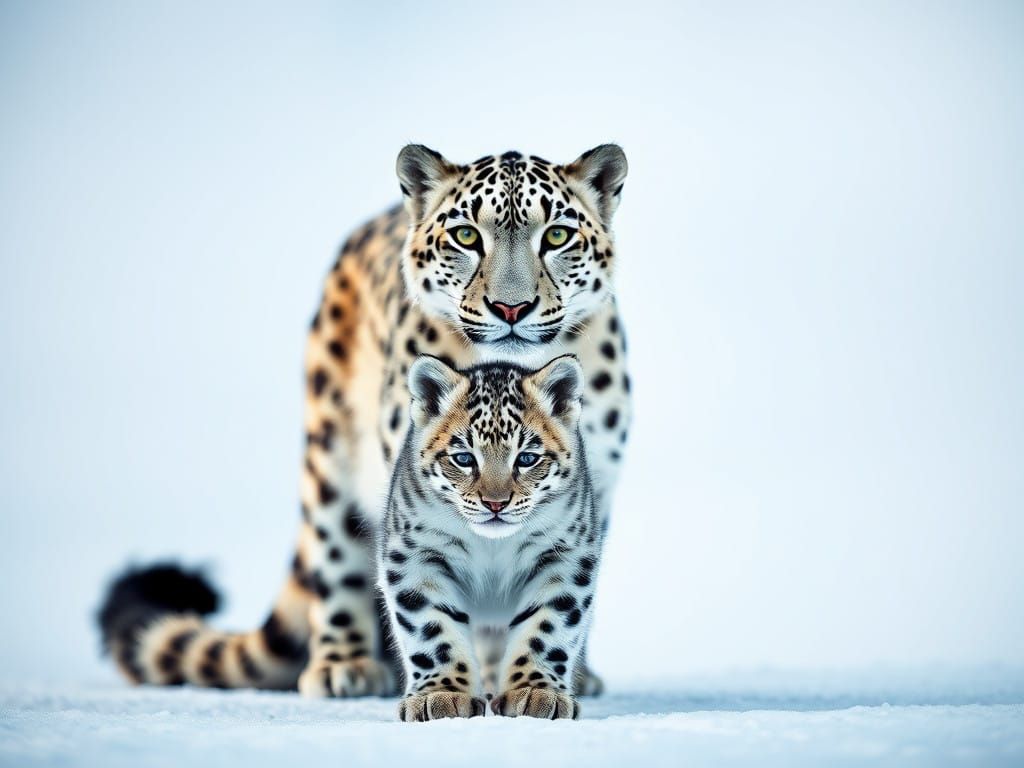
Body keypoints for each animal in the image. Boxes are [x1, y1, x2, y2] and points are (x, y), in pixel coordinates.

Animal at [383, 354, 599, 721]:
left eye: (526, 457)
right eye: (463, 457)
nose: (495, 503)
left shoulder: (564, 555)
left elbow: (547, 626)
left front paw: (536, 691)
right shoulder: (416, 555)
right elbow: (432, 628)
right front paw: (441, 694)